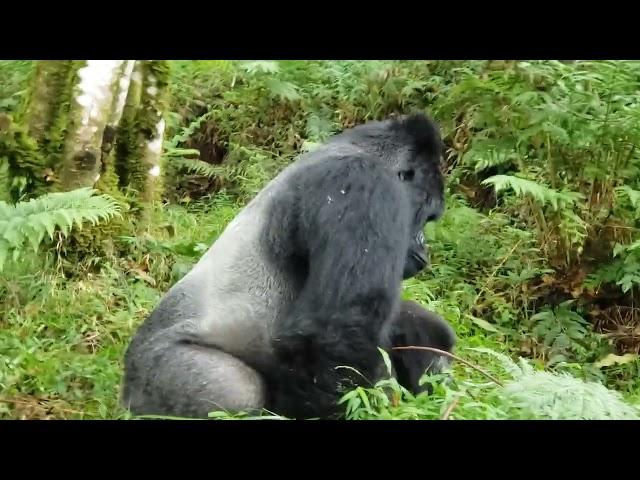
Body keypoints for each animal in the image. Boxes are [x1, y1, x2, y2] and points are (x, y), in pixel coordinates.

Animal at [122, 111, 456, 416]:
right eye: (426, 215)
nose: (423, 246)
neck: (357, 149)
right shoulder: (360, 182)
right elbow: (339, 329)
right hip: (155, 376)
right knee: (237, 390)